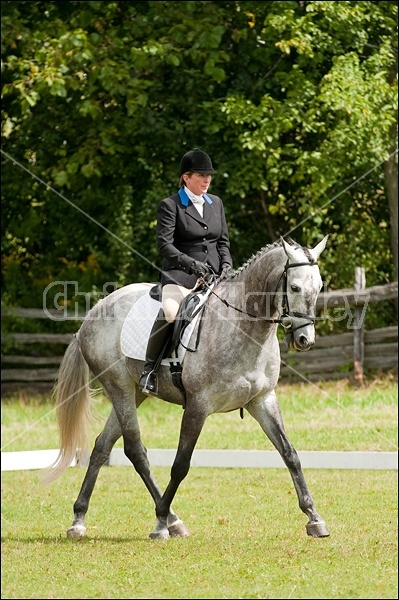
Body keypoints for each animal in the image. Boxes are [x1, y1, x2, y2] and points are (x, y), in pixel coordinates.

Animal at [44, 237, 332, 540]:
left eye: (319, 287)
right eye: (295, 287)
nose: (305, 339)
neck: (244, 328)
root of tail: (93, 313)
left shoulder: (263, 400)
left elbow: (290, 454)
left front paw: (314, 518)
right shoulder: (198, 406)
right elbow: (181, 464)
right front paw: (159, 522)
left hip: (134, 393)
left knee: (102, 446)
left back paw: (80, 519)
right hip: (118, 386)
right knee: (135, 451)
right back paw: (167, 519)